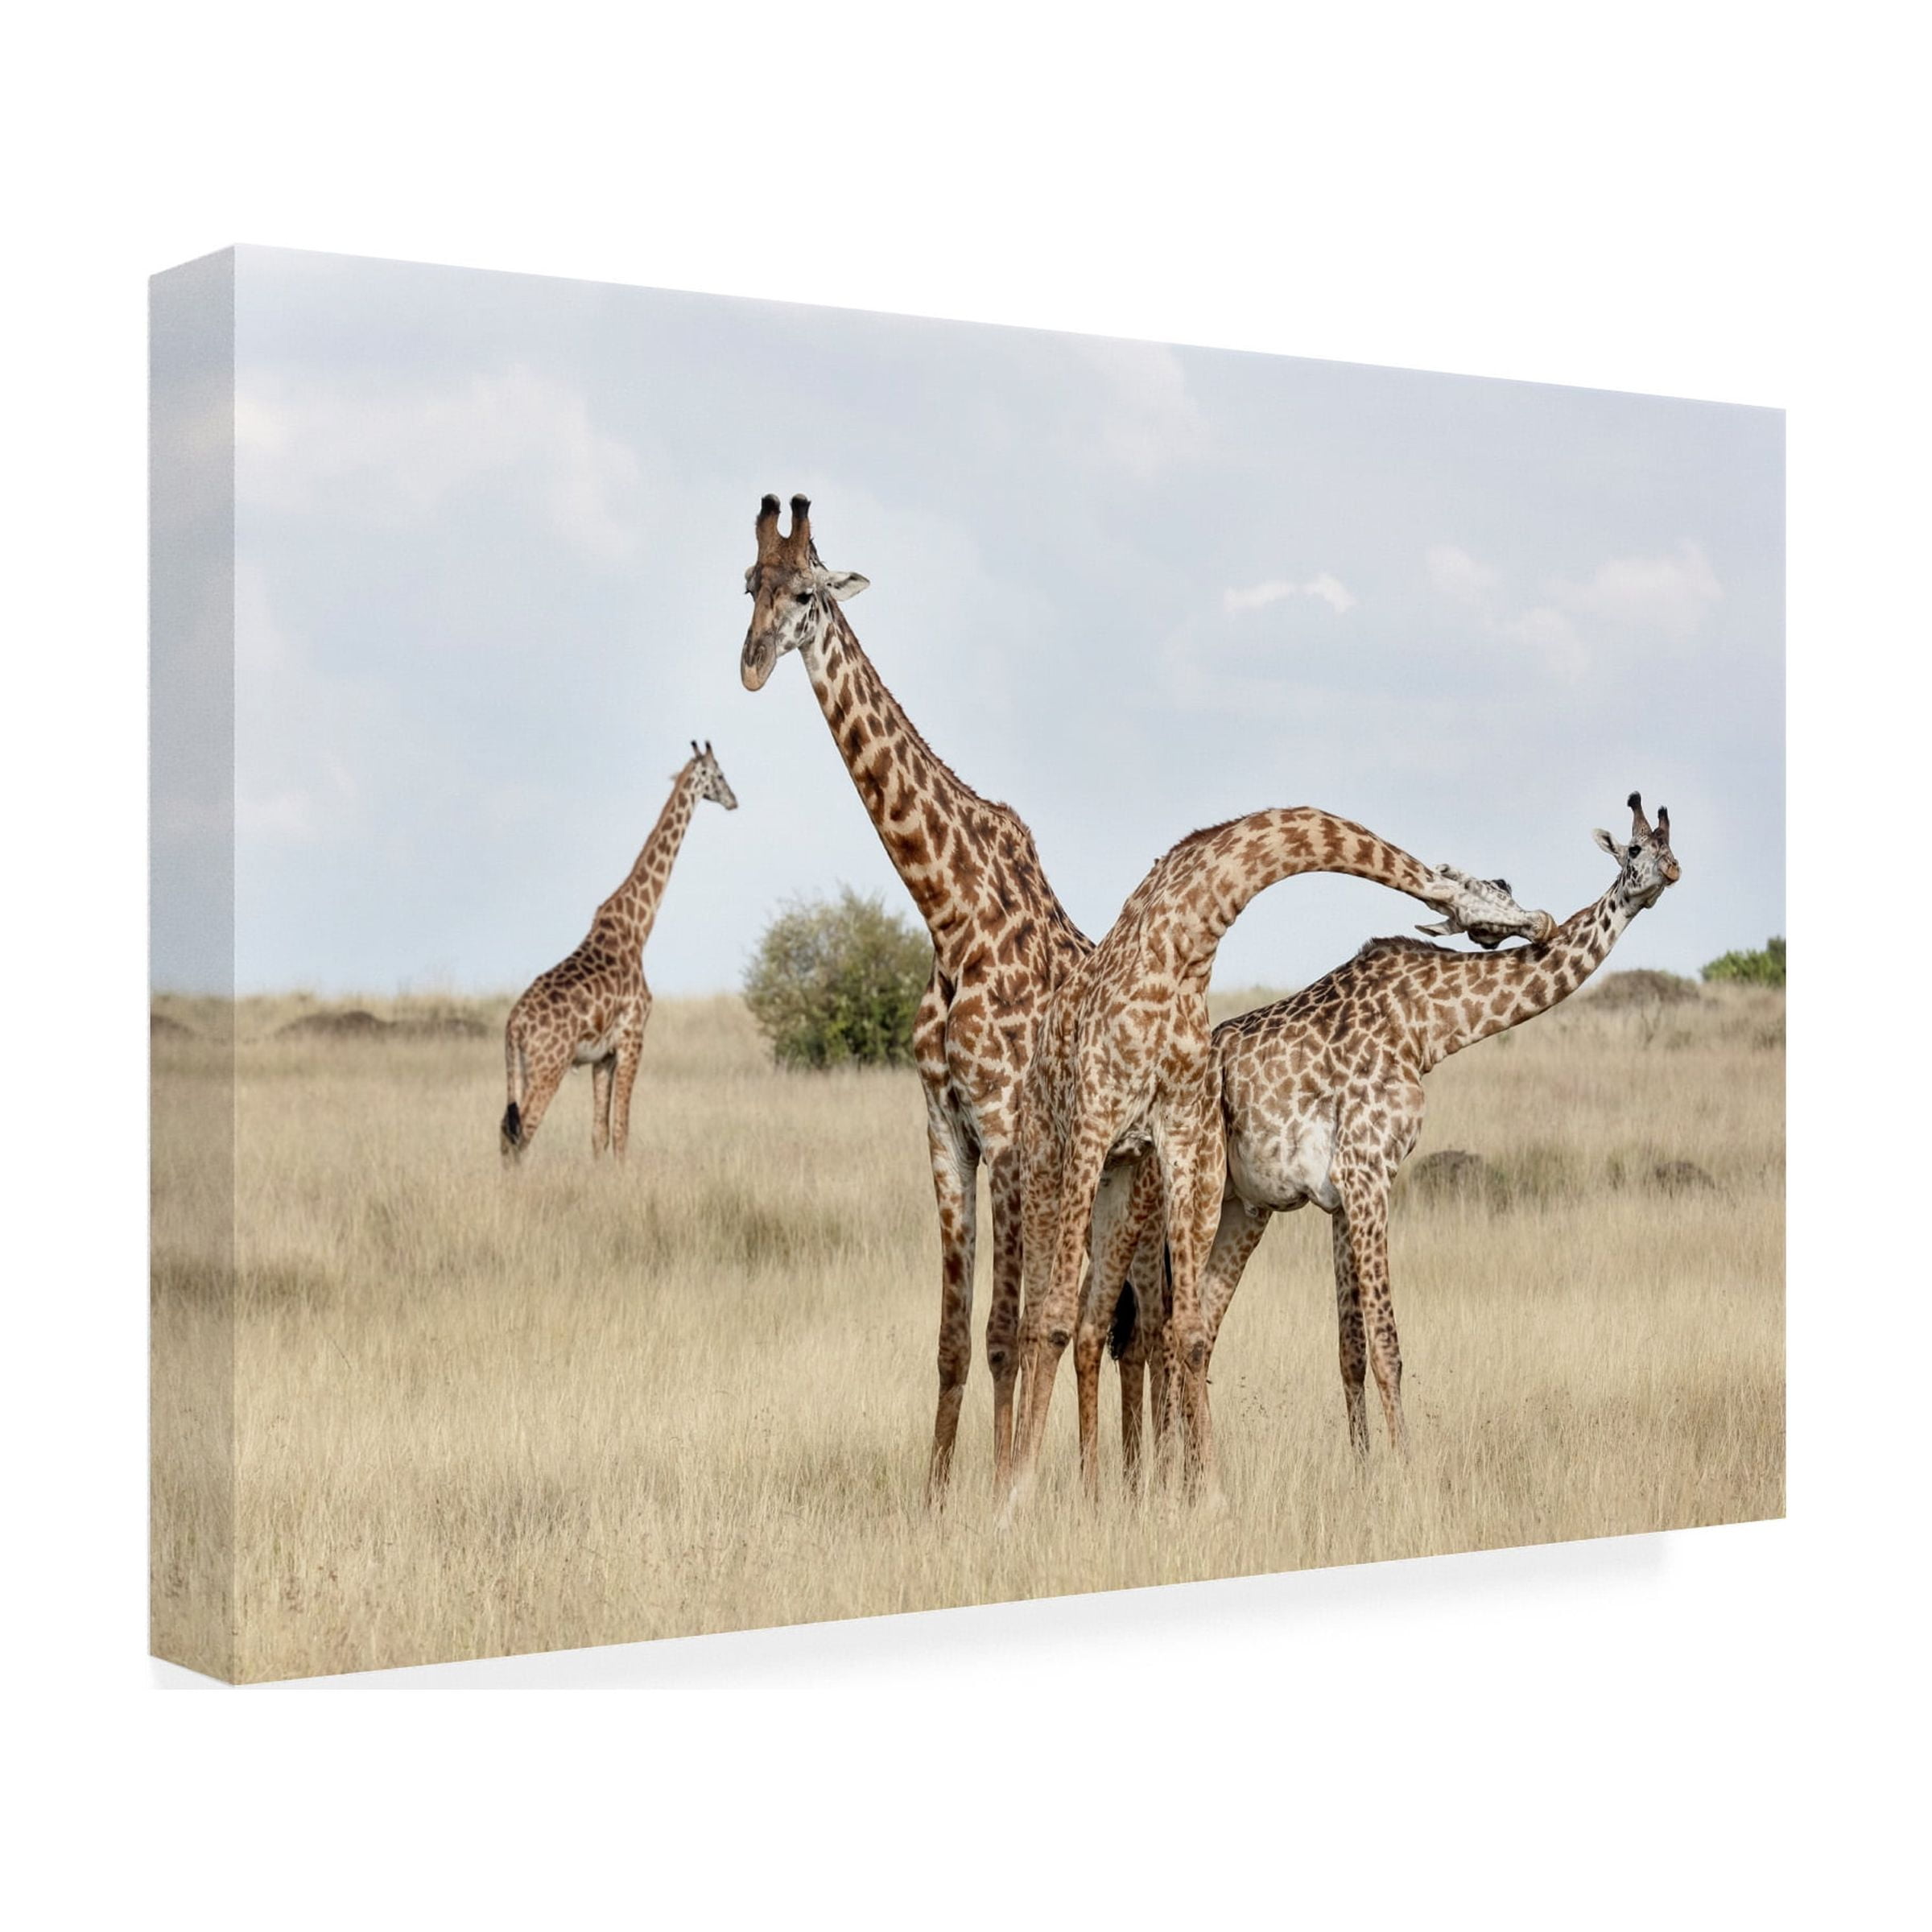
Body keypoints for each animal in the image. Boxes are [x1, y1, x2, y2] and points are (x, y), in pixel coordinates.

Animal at [500, 742, 738, 1163]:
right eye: (721, 775)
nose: (734, 801)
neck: (637, 927)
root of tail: (514, 1024)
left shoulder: (603, 1056)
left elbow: (599, 1134)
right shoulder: (633, 1039)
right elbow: (622, 1130)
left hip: (522, 1068)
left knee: (505, 1133)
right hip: (550, 1065)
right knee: (522, 1133)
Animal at [739, 493, 1151, 1499]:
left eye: (806, 592)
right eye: (748, 583)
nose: (752, 665)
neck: (950, 914)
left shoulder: (1006, 1132)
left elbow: (1008, 1331)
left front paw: (1004, 1489)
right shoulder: (942, 1129)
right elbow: (956, 1342)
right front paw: (936, 1498)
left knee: (1111, 1328)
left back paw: (1109, 1484)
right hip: (1098, 1176)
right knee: (1102, 1327)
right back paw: (1104, 1483)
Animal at [1005, 805, 1554, 1508]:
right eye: (1492, 890)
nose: (1540, 922)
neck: (1181, 948)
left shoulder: (1181, 1136)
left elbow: (1188, 1331)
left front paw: (1208, 1497)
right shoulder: (1095, 1121)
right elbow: (1055, 1321)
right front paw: (1017, 1501)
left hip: (1120, 1186)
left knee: (1091, 1322)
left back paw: (1095, 1492)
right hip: (1050, 1161)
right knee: (1037, 1320)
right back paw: (1020, 1485)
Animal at [1113, 792, 1681, 1465]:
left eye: (1672, 843)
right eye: (1634, 848)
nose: (1668, 874)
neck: (1427, 1024)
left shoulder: (1340, 1196)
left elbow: (1351, 1351)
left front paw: (1364, 1471)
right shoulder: (1368, 1172)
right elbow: (1388, 1347)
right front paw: (1407, 1472)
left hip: (1242, 1209)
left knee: (1193, 1329)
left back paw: (1184, 1468)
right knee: (1156, 1331)